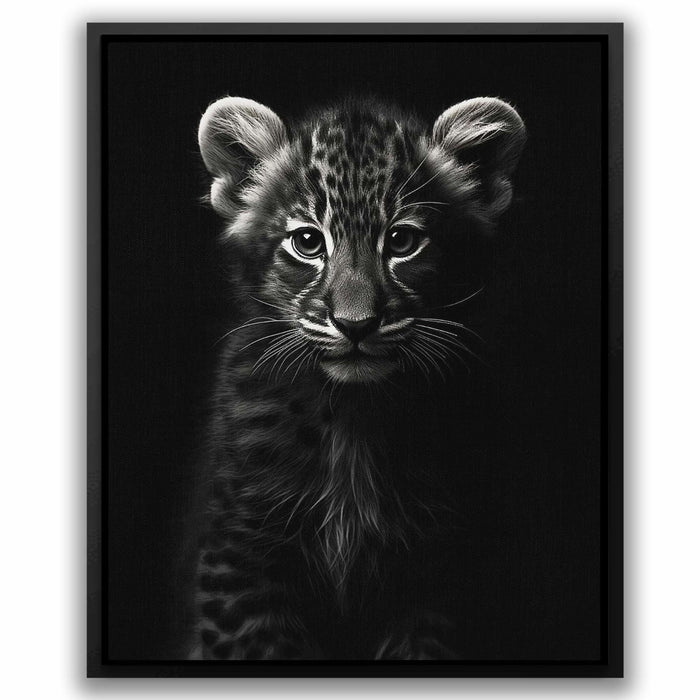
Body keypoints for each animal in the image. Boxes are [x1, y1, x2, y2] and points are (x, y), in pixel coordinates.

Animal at [188, 94, 526, 660]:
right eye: (307, 242)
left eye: (403, 241)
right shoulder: (243, 557)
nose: (355, 324)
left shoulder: (440, 573)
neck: (354, 416)